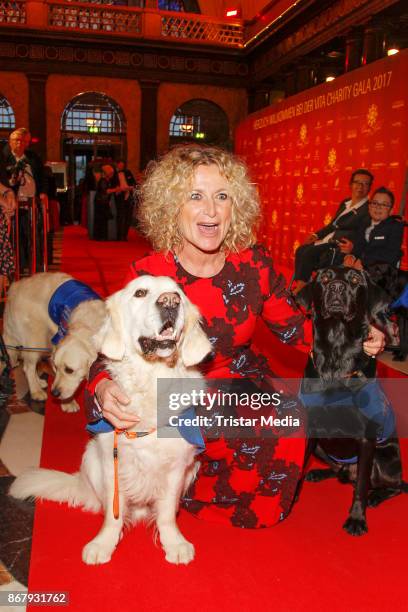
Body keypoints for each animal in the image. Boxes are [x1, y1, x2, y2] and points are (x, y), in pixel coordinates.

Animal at [3, 272, 105, 412]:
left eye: (69, 370)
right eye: (55, 367)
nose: (54, 393)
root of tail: (14, 288)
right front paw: (68, 403)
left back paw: (39, 382)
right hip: (35, 339)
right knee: (28, 367)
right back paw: (36, 391)